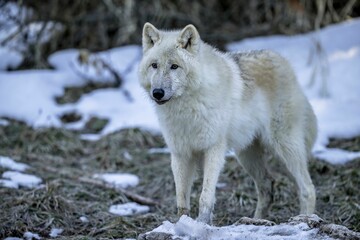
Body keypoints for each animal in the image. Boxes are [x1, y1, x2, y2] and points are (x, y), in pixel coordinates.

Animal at [139, 22, 316, 223]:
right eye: (154, 65)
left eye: (174, 66)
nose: (157, 93)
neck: (186, 109)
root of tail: (283, 61)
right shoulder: (180, 154)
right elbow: (181, 201)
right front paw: (183, 224)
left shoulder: (214, 150)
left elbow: (205, 196)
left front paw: (202, 224)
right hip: (246, 155)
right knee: (267, 187)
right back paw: (256, 220)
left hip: (285, 147)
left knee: (308, 188)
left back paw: (305, 219)